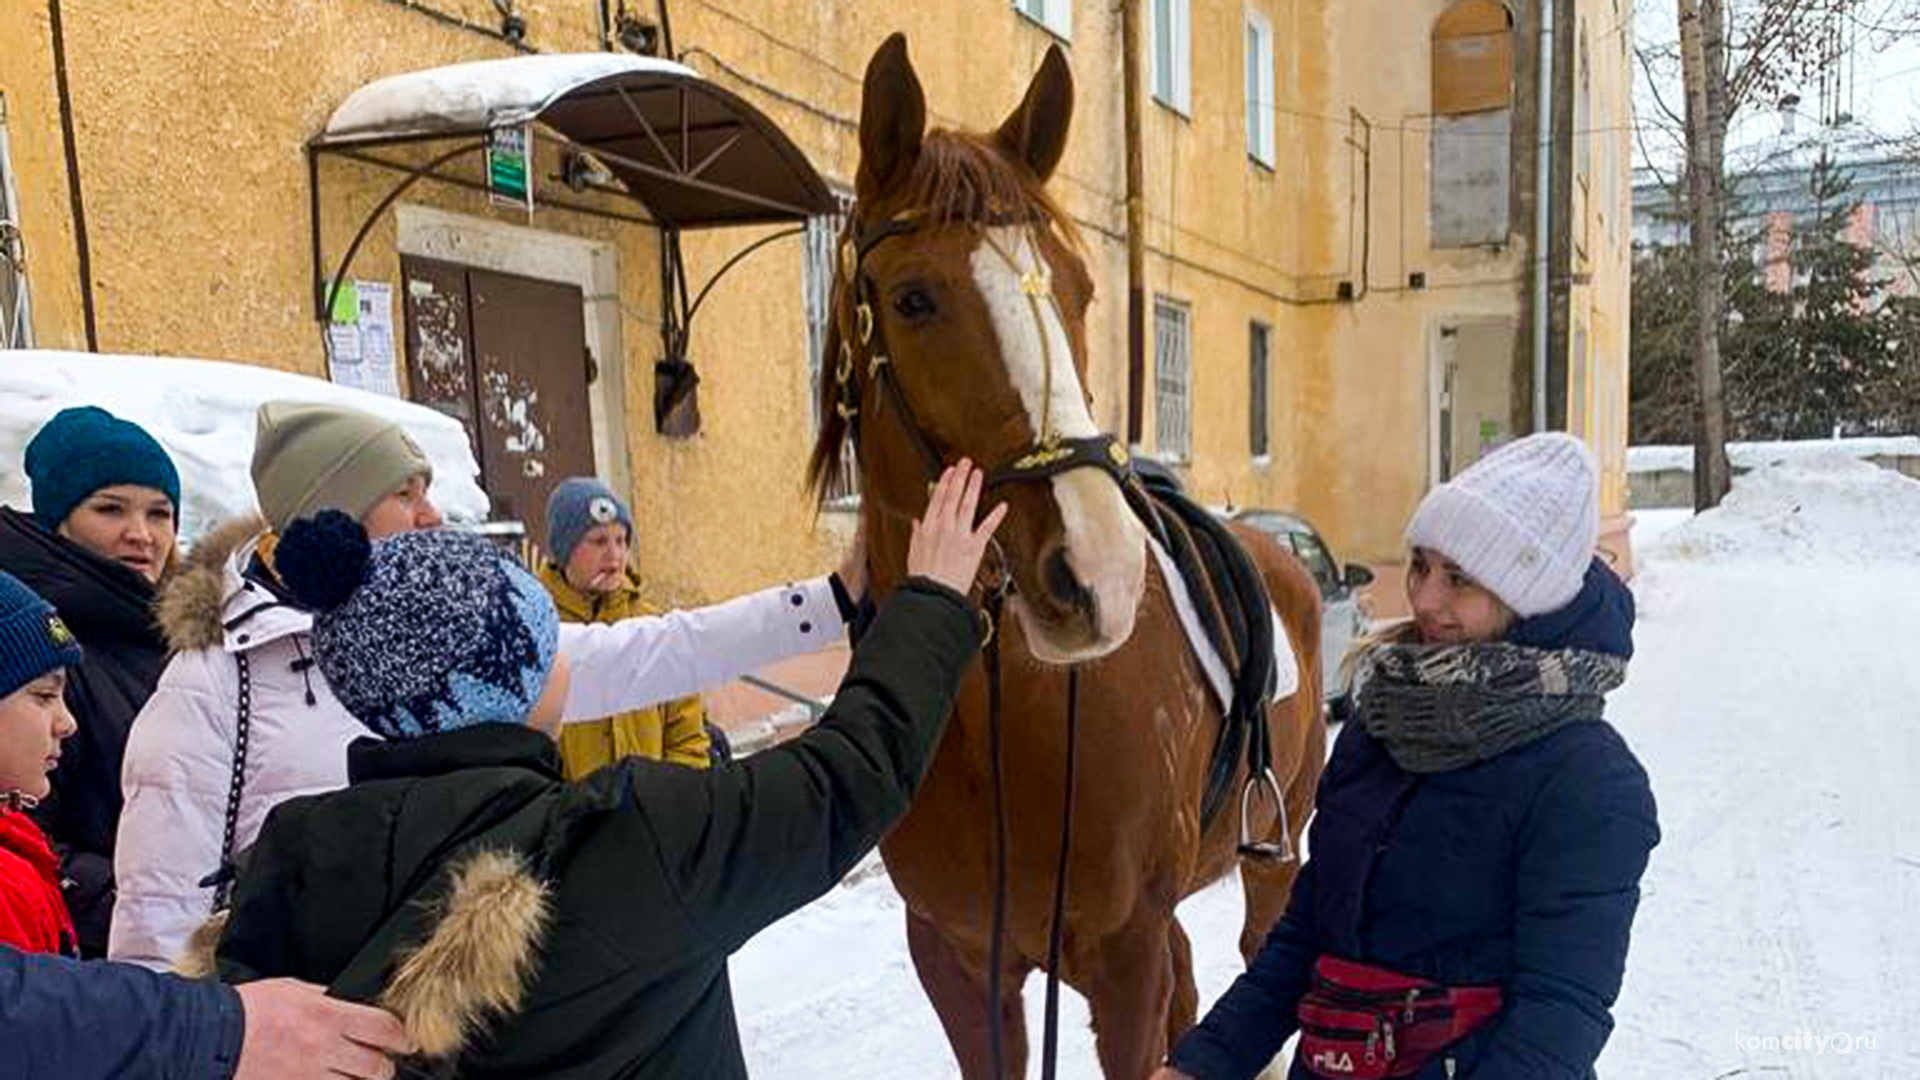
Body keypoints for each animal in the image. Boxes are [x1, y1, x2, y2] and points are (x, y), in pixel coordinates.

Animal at [802, 35, 1328, 1076]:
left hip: (1275, 860)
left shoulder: (1123, 959)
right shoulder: (962, 963)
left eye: (1081, 291)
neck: (999, 723)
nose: (1099, 576)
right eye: (914, 299)